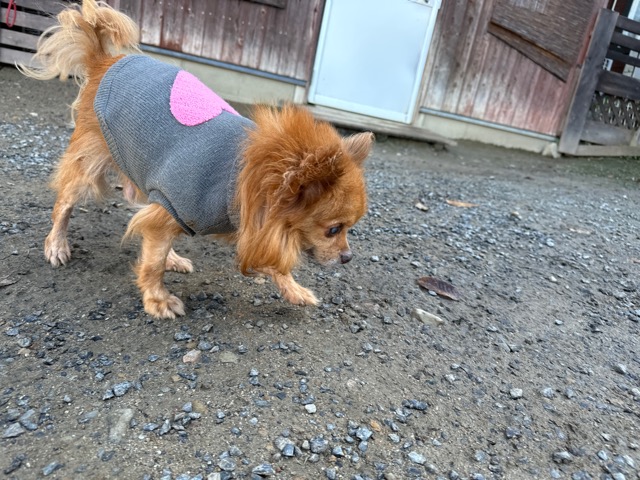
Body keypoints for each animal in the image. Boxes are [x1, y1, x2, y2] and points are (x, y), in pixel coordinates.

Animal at [20, 0, 372, 319]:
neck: (245, 178)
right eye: (333, 229)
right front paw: (157, 299)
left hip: (144, 166)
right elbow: (152, 262)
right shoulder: (178, 205)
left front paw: (293, 289)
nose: (348, 257)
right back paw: (56, 245)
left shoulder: (247, 222)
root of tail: (104, 62)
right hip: (91, 163)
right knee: (64, 205)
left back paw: (172, 256)